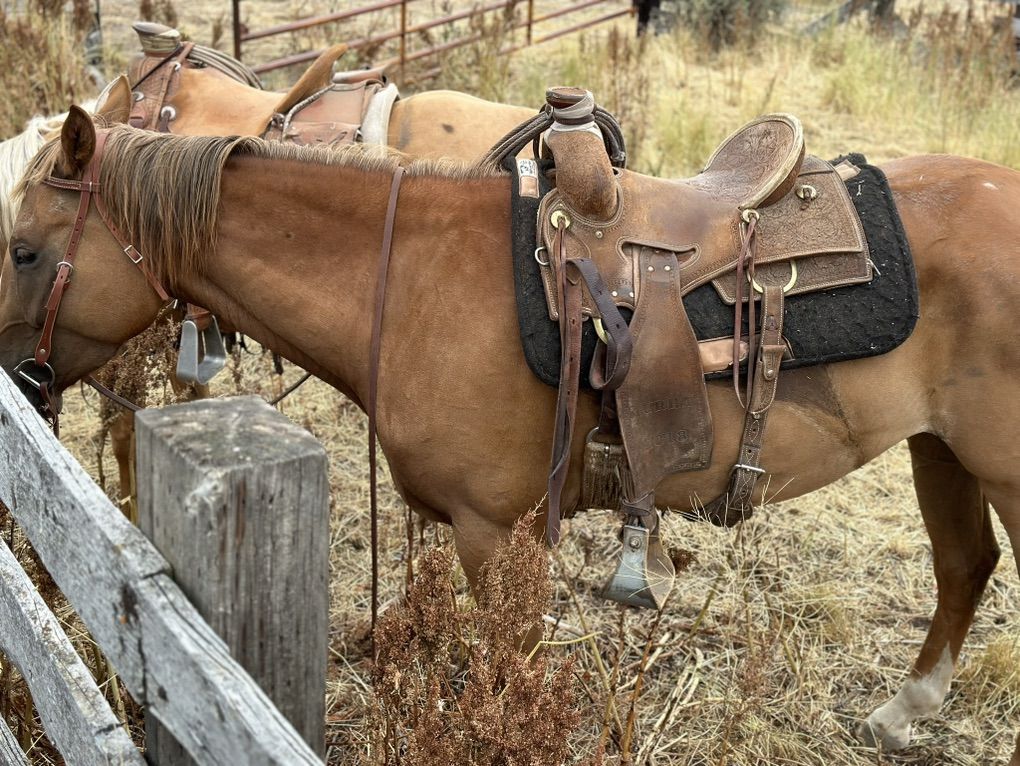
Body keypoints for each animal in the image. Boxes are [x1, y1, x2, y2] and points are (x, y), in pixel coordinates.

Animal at [4, 104, 1019, 762]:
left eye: (23, 250)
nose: (17, 380)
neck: (408, 279)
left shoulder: (498, 535)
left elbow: (509, 676)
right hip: (940, 451)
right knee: (964, 566)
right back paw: (905, 711)